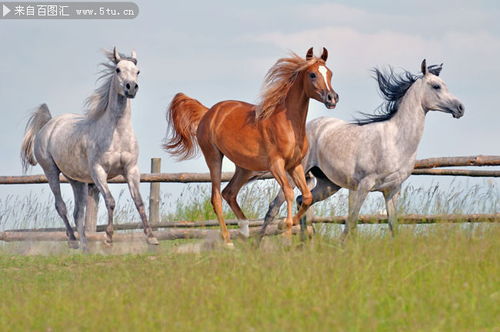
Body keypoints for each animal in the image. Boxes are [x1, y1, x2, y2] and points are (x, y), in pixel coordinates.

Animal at [21, 46, 158, 249]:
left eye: (137, 71)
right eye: (117, 69)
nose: (131, 87)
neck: (117, 133)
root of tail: (49, 125)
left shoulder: (131, 169)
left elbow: (139, 202)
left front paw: (151, 238)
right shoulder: (98, 171)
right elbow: (110, 201)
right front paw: (108, 238)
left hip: (76, 180)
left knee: (78, 212)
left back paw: (85, 247)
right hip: (51, 171)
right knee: (61, 206)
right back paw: (72, 241)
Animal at [164, 47, 340, 246]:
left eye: (330, 73)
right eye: (312, 74)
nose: (332, 98)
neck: (287, 124)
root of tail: (208, 112)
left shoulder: (295, 165)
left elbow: (307, 196)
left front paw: (285, 225)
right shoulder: (276, 165)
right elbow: (288, 192)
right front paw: (286, 233)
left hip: (244, 167)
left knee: (229, 192)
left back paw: (245, 232)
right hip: (214, 157)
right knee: (216, 198)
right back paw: (229, 242)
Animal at [262, 58, 464, 237]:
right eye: (436, 86)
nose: (460, 108)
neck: (395, 141)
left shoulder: (392, 190)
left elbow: (393, 226)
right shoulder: (362, 187)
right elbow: (351, 223)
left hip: (328, 184)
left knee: (302, 200)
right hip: (294, 174)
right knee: (274, 207)